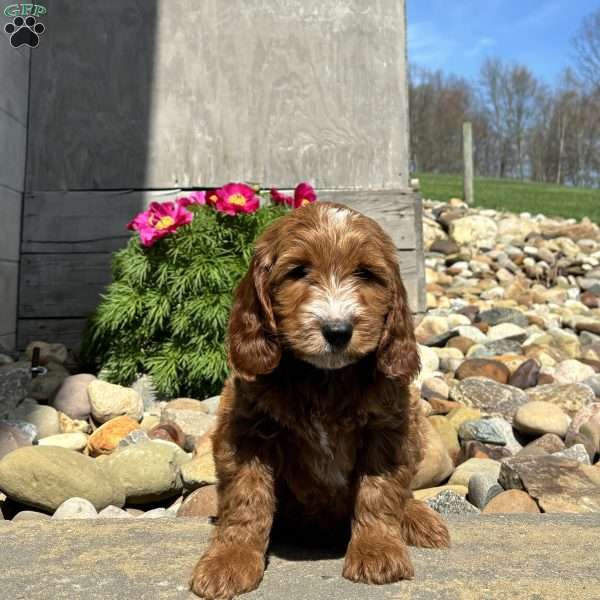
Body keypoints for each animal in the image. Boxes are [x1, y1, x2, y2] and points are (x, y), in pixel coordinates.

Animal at [190, 202, 448, 600]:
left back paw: (417, 517)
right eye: (298, 271)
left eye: (365, 273)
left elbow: (379, 492)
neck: (324, 379)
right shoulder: (247, 430)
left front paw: (377, 551)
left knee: (403, 495)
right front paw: (229, 560)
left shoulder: (387, 430)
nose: (337, 331)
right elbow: (246, 498)